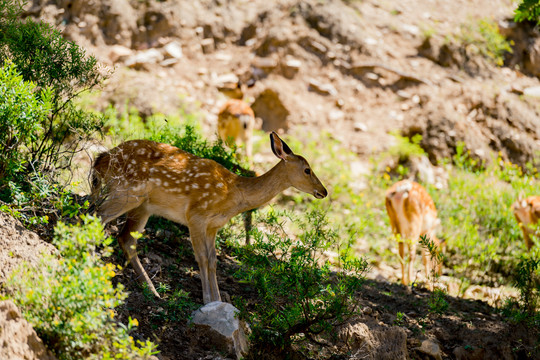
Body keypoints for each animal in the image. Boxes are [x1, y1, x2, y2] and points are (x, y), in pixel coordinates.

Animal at [91, 132, 326, 304]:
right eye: (307, 170)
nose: (323, 191)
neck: (234, 194)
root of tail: (103, 159)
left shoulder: (214, 226)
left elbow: (213, 260)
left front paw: (218, 300)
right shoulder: (196, 215)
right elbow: (202, 257)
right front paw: (207, 300)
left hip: (143, 206)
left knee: (126, 238)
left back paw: (152, 290)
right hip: (127, 191)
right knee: (97, 215)